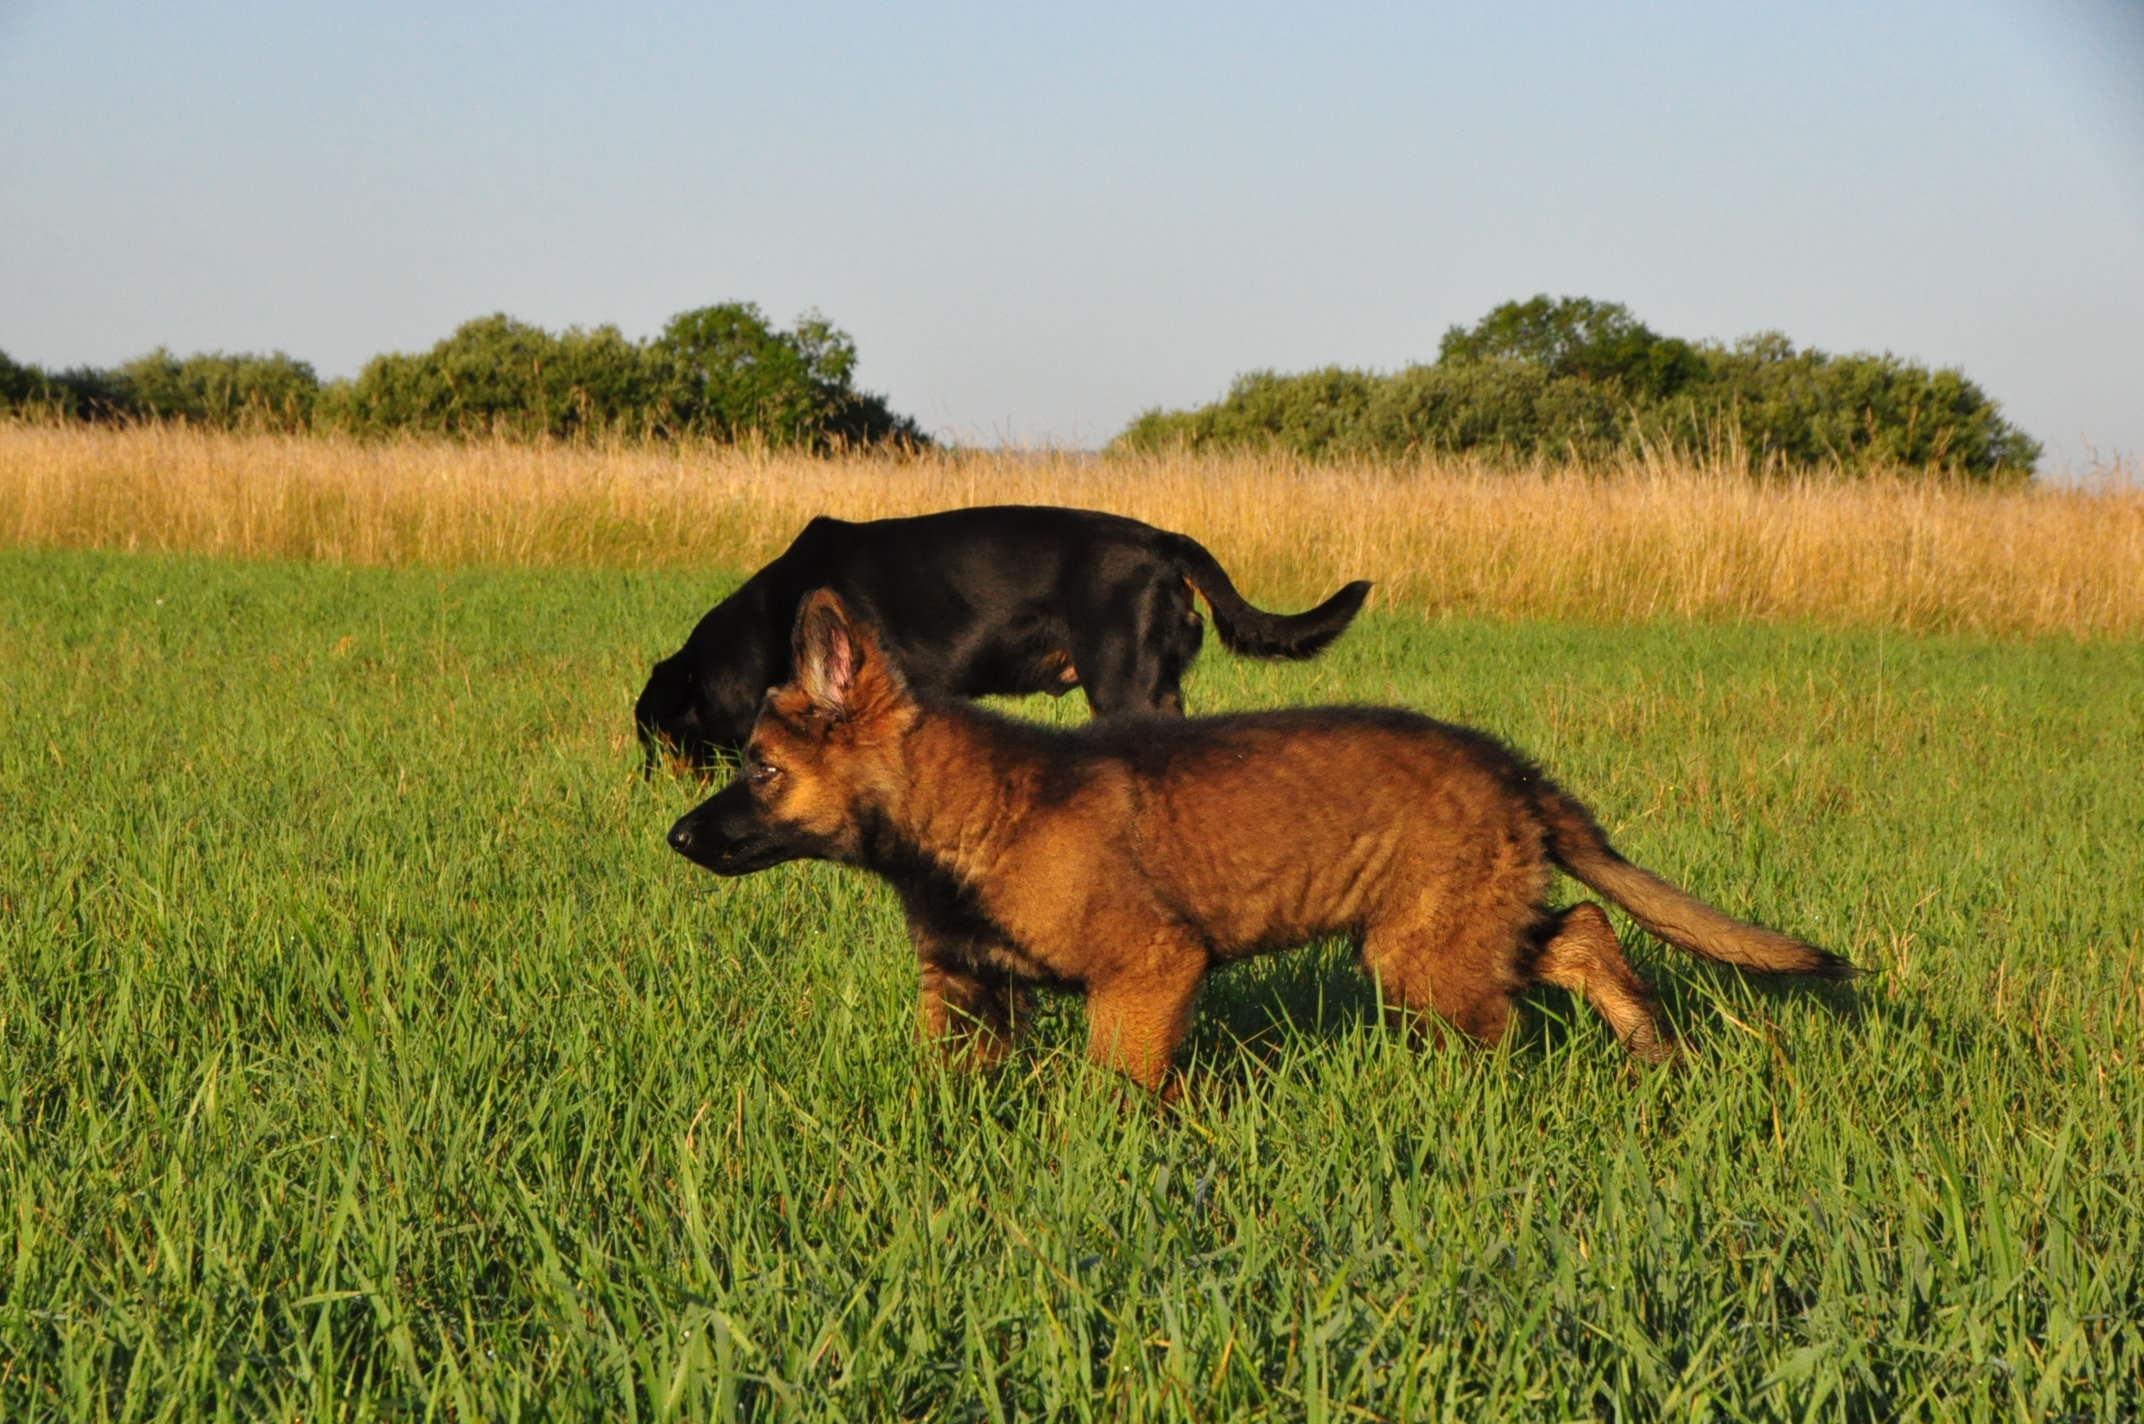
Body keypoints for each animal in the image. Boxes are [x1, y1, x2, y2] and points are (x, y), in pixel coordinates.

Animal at [666, 591, 1854, 1094]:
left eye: (760, 770)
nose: (676, 836)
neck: (963, 815)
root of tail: (1506, 763)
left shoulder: (1149, 970)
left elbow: (1118, 1089)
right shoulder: (962, 991)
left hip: (1421, 957)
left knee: (1510, 1015)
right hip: (1454, 929)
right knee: (1584, 930)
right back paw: (1652, 1050)